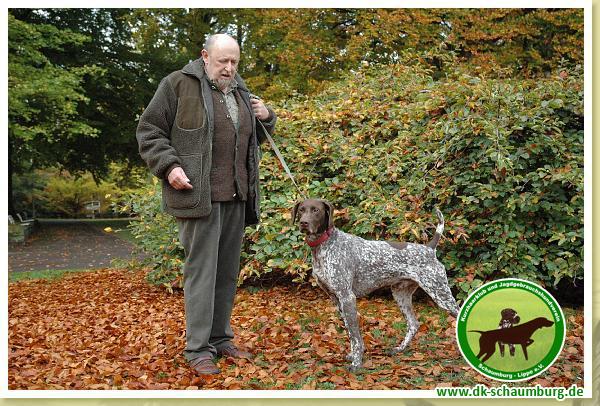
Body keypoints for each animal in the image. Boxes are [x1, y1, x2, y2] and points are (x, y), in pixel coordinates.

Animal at [292, 198, 459, 371]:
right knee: (413, 324)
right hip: (401, 294)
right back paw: (399, 349)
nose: (304, 223)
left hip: (440, 293)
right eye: (301, 210)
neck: (324, 245)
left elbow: (355, 336)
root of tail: (429, 248)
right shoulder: (336, 299)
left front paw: (356, 362)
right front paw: (353, 355)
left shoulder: (347, 297)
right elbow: (349, 332)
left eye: (316, 210)